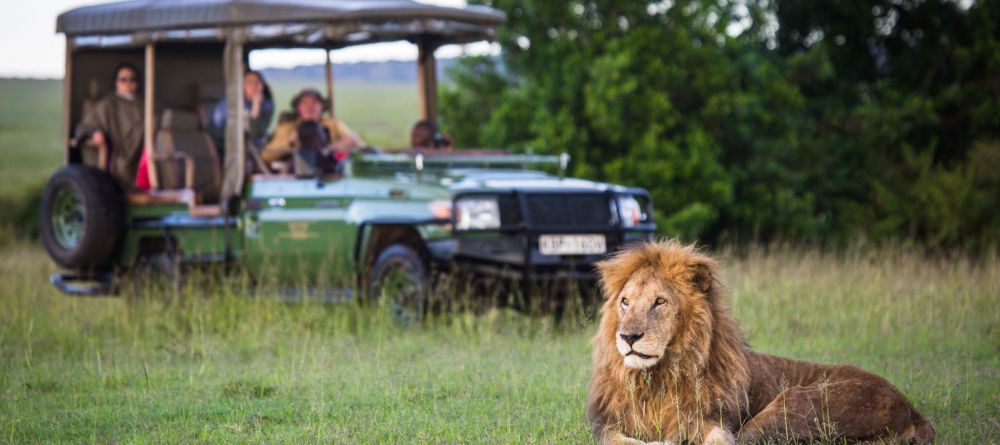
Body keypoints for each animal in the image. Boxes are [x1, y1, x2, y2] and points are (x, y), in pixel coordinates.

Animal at [584, 241, 932, 442]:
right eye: (625, 302)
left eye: (659, 302)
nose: (628, 337)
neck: (659, 379)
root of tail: (910, 407)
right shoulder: (608, 425)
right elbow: (619, 440)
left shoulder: (714, 419)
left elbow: (719, 438)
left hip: (795, 403)